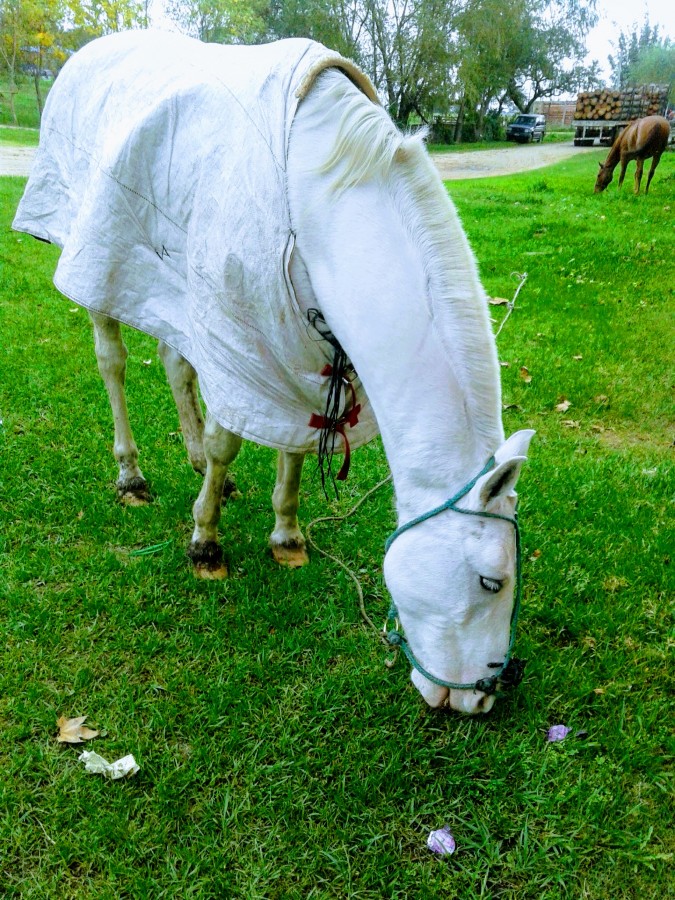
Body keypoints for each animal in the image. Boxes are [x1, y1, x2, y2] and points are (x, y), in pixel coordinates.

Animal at [13, 31, 536, 712]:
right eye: (490, 581)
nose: (481, 697)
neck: (320, 198)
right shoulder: (240, 334)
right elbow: (228, 440)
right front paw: (205, 542)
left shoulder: (302, 353)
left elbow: (292, 446)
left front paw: (285, 534)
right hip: (100, 263)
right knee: (114, 363)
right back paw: (131, 476)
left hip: (179, 295)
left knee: (177, 363)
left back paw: (193, 463)